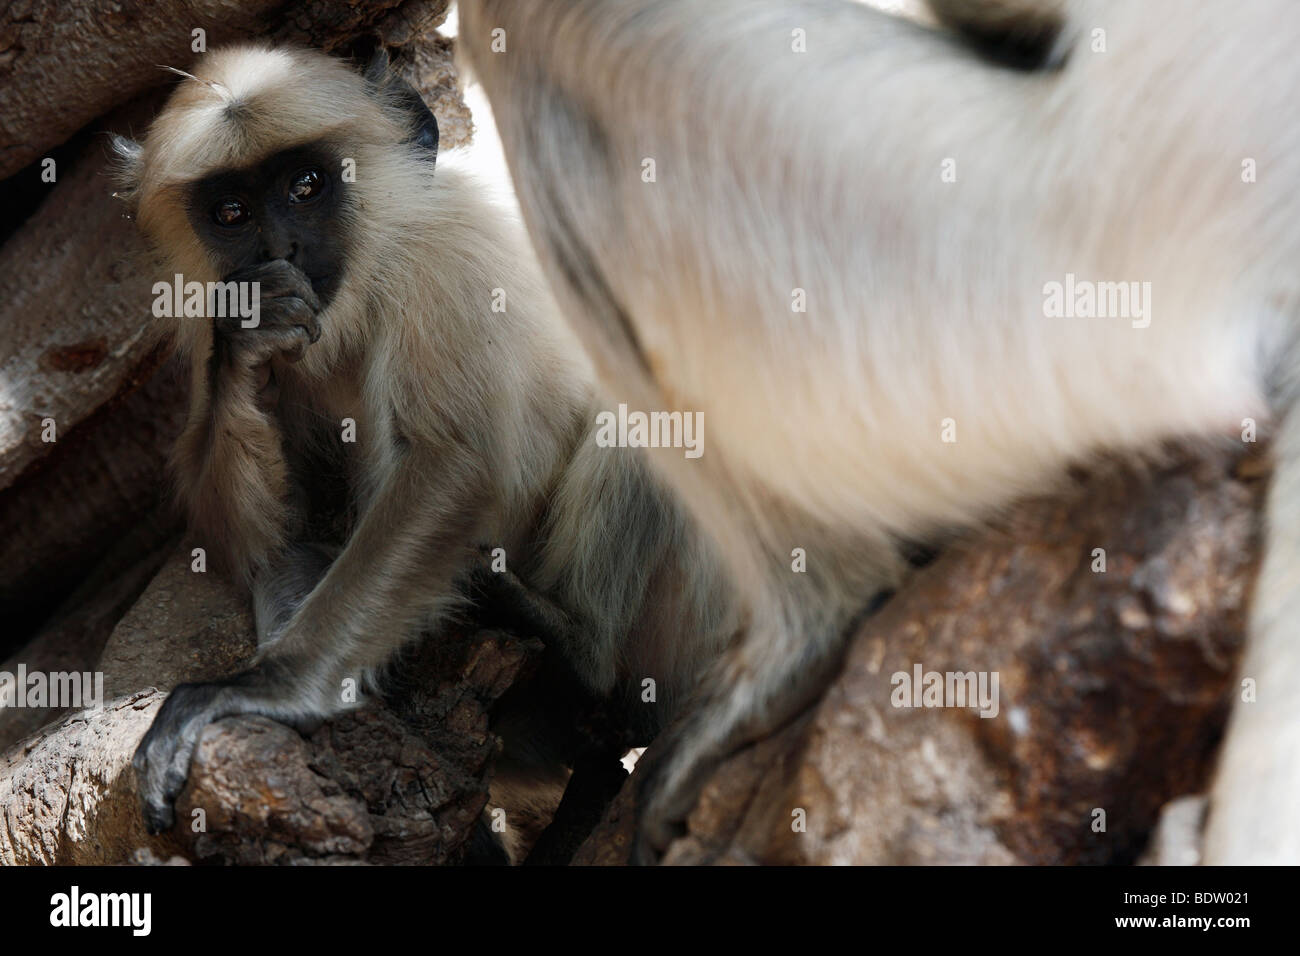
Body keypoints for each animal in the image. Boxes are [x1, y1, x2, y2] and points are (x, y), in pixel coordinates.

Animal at [114, 44, 743, 853]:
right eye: (232, 213)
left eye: (307, 187)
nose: (282, 248)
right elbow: (267, 539)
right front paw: (251, 344)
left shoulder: (439, 253)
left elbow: (454, 464)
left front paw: (267, 689)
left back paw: (576, 650)